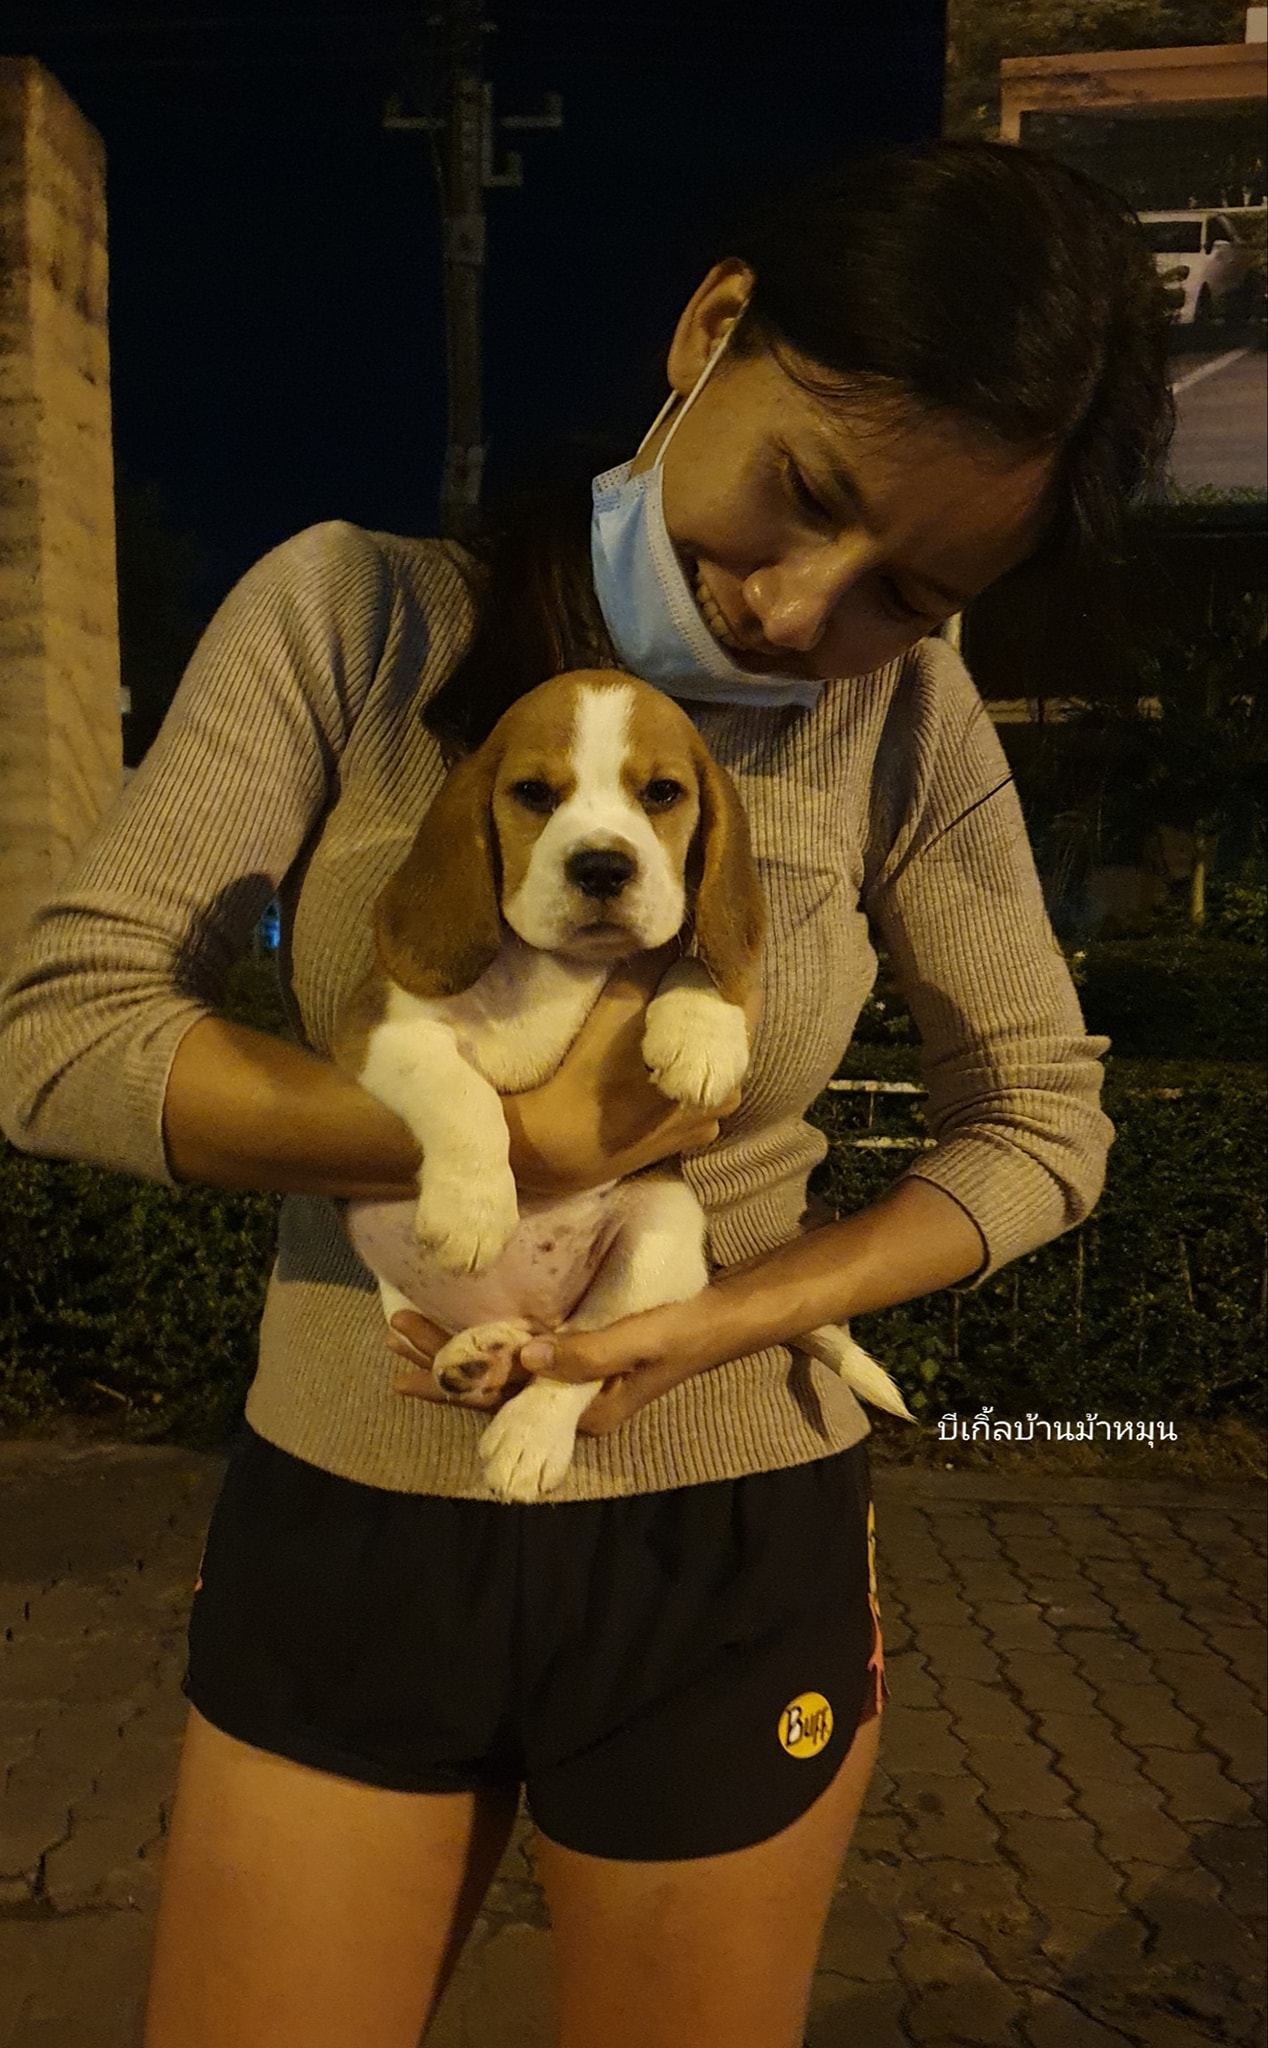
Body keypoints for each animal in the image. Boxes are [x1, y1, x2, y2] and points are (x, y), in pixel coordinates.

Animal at [334, 668, 912, 1503]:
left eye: (663, 793)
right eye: (533, 793)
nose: (603, 867)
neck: (556, 969)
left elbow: (694, 953)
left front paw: (702, 1034)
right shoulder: (373, 1031)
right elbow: (458, 1089)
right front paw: (475, 1207)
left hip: (660, 1231)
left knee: (570, 1356)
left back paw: (525, 1427)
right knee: (530, 1340)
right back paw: (478, 1352)